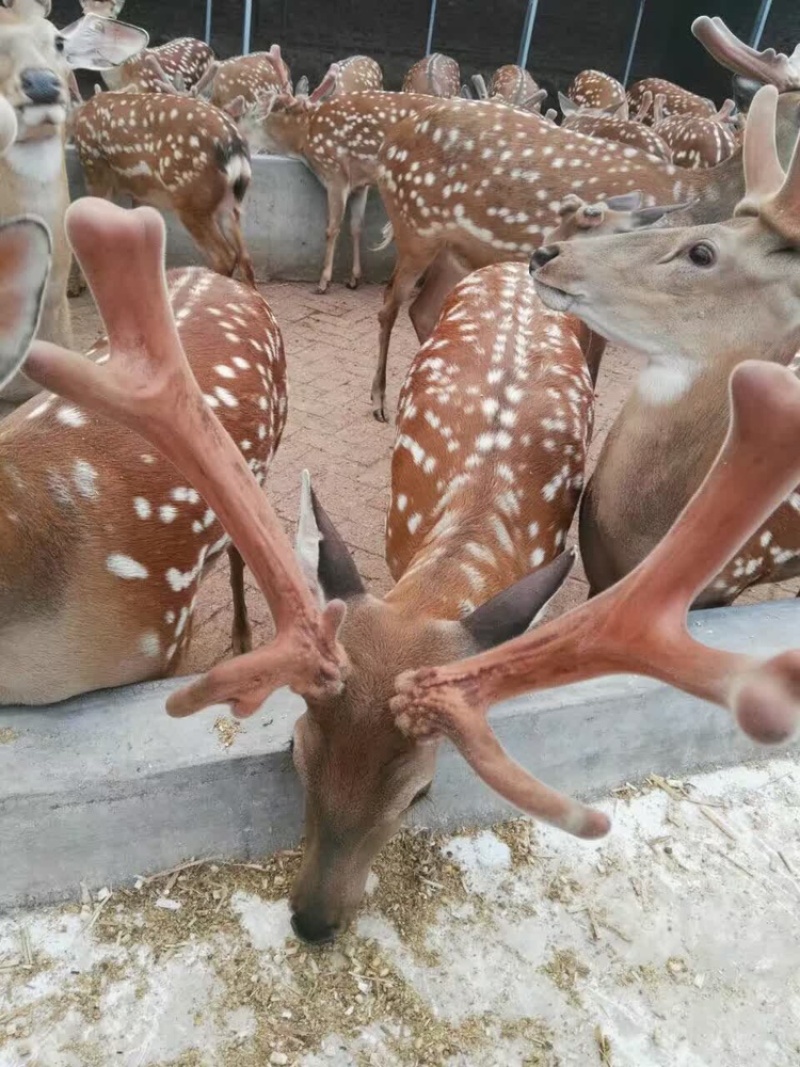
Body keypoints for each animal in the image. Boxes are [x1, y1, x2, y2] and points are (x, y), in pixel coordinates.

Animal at [72, 90, 256, 284]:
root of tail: (235, 147)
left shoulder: (96, 173)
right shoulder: (141, 193)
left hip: (190, 198)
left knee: (224, 256)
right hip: (227, 203)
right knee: (244, 257)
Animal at [237, 84, 433, 294]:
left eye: (250, 113)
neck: (303, 140)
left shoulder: (335, 173)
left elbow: (332, 228)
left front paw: (323, 282)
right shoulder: (360, 183)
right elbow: (356, 226)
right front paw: (354, 279)